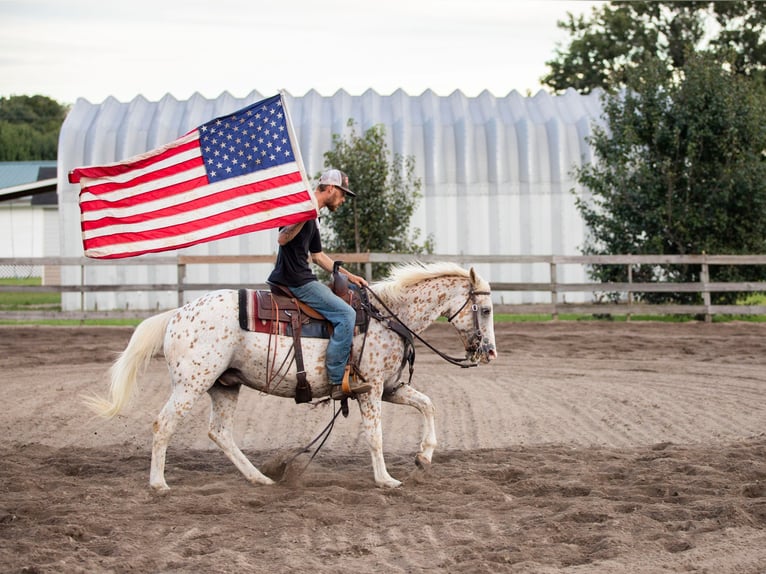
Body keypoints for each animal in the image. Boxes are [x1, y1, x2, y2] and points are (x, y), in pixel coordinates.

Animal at [88, 260, 498, 490]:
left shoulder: (391, 387)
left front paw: (424, 457)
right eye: (487, 309)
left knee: (220, 433)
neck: (387, 317)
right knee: (164, 424)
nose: (490, 352)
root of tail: (175, 315)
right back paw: (159, 484)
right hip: (192, 384)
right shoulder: (372, 389)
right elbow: (375, 435)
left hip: (224, 385)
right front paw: (385, 480)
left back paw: (259, 478)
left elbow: (428, 406)